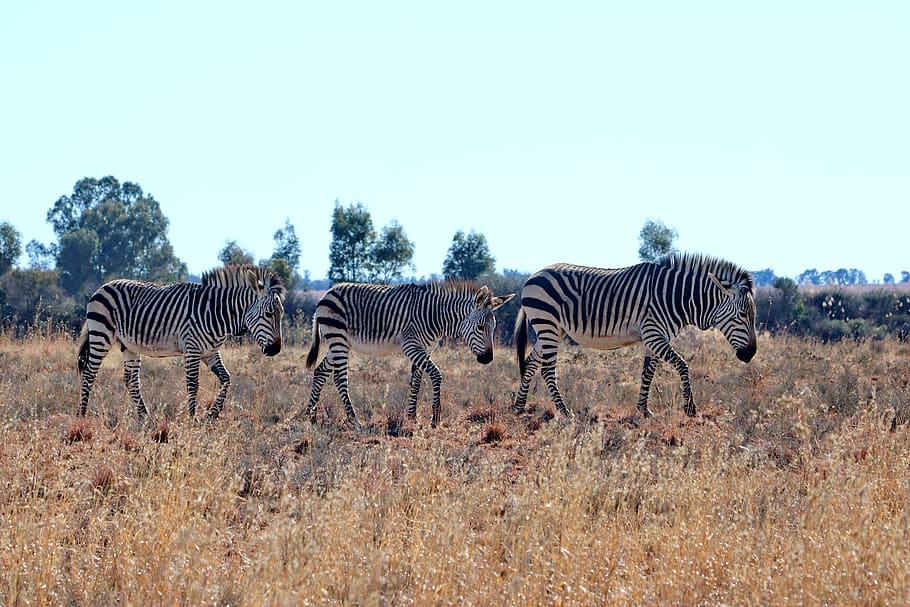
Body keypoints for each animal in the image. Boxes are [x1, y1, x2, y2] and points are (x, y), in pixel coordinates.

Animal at [78, 266, 284, 422]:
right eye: (269, 314)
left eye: (280, 314)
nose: (276, 350)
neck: (216, 313)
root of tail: (103, 286)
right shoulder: (192, 349)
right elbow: (193, 384)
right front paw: (192, 419)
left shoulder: (210, 352)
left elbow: (226, 378)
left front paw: (213, 414)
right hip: (101, 334)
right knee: (89, 374)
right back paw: (82, 415)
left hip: (128, 345)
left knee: (131, 380)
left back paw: (145, 416)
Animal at [306, 280, 516, 428]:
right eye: (480, 327)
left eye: (493, 327)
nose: (487, 359)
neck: (436, 316)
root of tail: (327, 293)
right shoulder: (411, 346)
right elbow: (436, 375)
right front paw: (435, 419)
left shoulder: (425, 348)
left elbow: (416, 381)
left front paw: (412, 417)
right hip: (338, 339)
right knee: (340, 379)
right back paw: (355, 422)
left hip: (338, 343)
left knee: (320, 372)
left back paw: (311, 417)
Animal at [516, 254, 760, 420]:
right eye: (743, 314)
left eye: (752, 314)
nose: (750, 354)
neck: (674, 296)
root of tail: (533, 275)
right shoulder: (654, 335)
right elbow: (682, 365)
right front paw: (690, 408)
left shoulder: (655, 338)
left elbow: (647, 373)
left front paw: (643, 409)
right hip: (547, 324)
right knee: (547, 370)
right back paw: (564, 410)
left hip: (553, 329)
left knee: (530, 363)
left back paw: (518, 406)